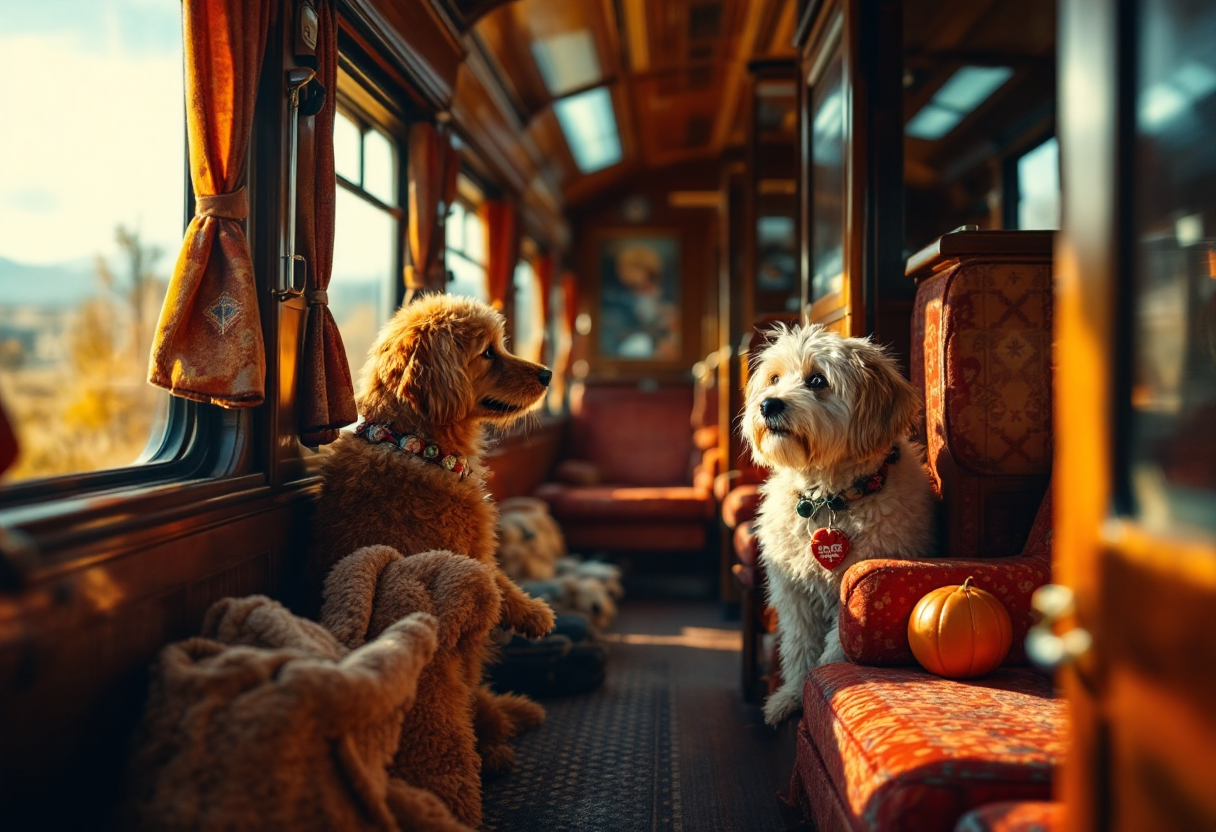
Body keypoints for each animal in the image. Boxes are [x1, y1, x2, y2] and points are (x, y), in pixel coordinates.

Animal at [311, 291, 556, 778]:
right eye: (487, 352)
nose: (547, 374)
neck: (413, 445)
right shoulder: (472, 550)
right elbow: (499, 581)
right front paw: (534, 613)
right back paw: (497, 743)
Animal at [739, 321, 929, 724]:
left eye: (817, 380)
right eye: (774, 378)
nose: (767, 404)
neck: (828, 500)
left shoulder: (851, 594)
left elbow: (832, 651)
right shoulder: (794, 595)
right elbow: (799, 647)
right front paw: (791, 696)